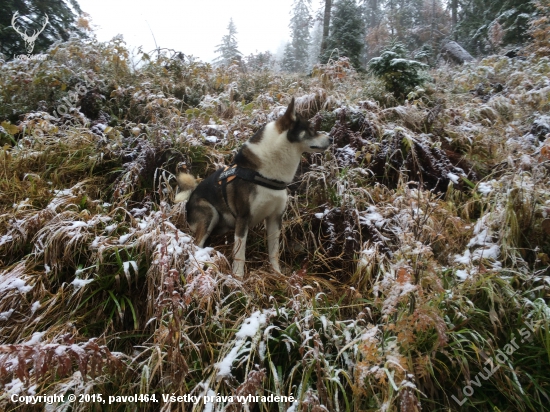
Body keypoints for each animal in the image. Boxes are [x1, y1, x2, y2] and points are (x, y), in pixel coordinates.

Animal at [177, 98, 332, 276]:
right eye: (311, 129)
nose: (331, 139)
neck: (267, 174)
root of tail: (189, 199)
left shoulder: (275, 218)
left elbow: (274, 251)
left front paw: (277, 274)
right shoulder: (243, 218)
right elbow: (240, 254)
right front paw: (238, 277)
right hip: (210, 214)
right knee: (196, 243)